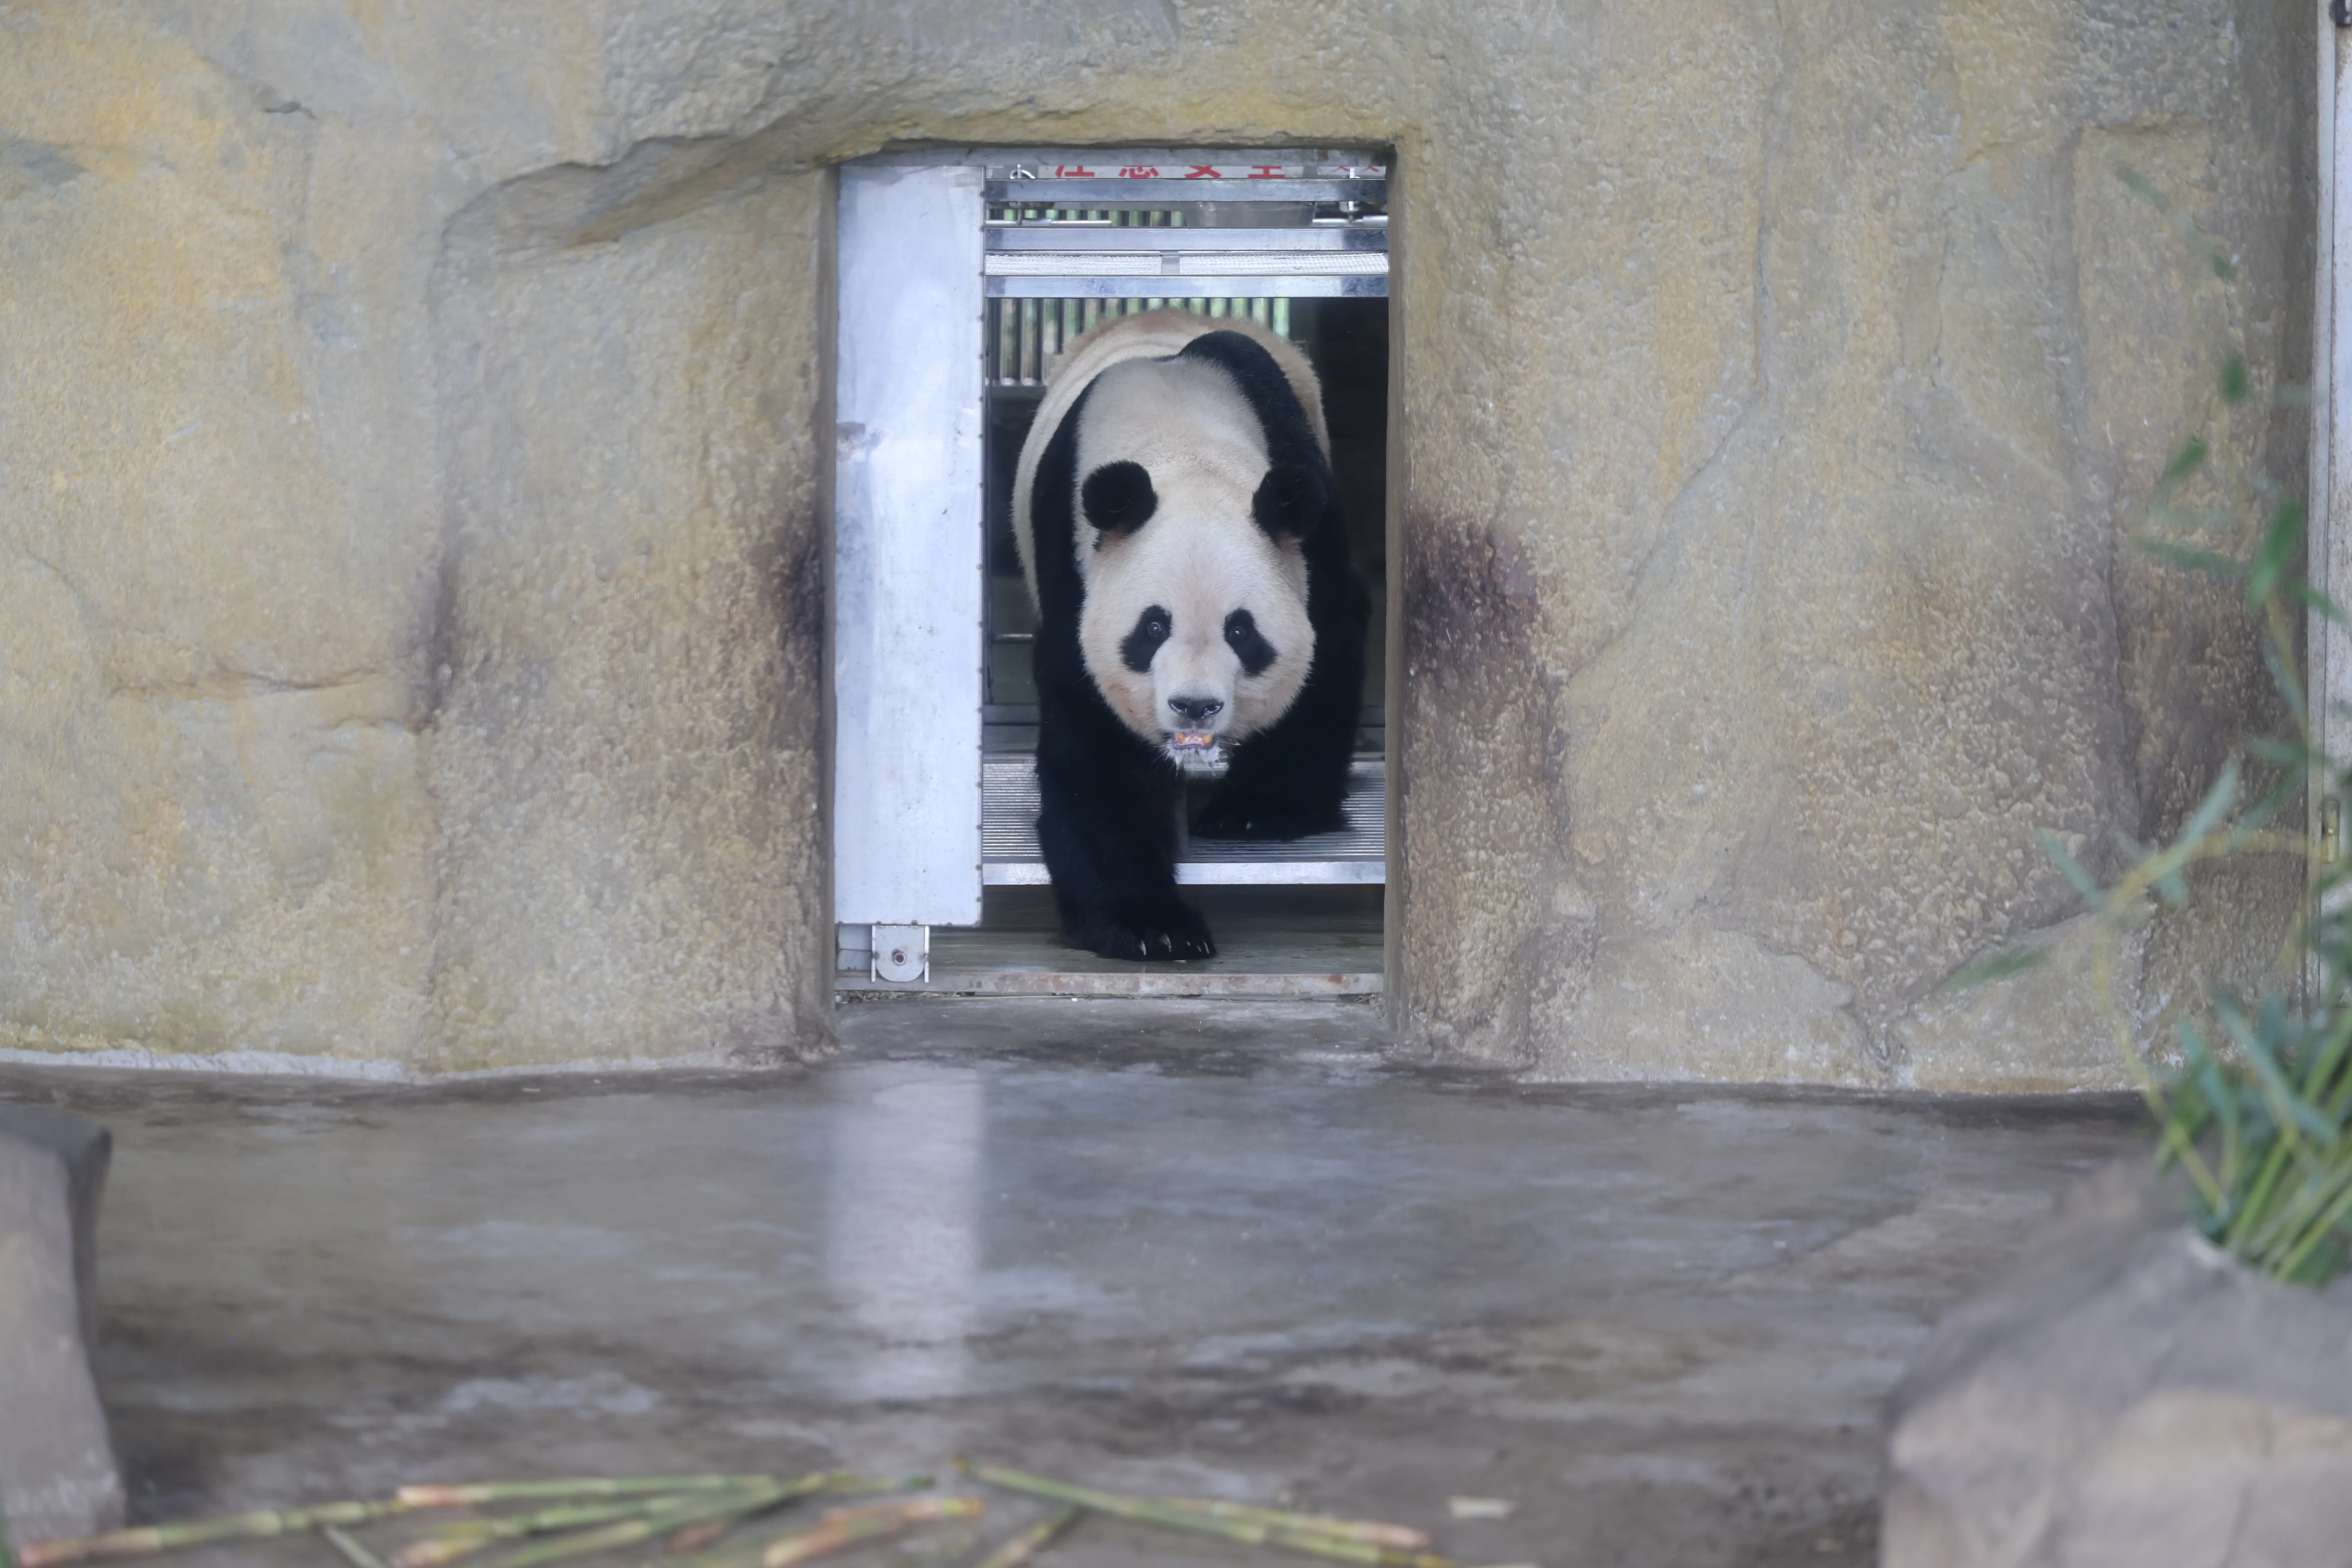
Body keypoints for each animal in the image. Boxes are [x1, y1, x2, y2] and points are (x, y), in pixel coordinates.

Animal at [1013, 309, 1369, 962]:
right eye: (1153, 628)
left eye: (1242, 631)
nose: (1195, 707)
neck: (1182, 450)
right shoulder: (1075, 573)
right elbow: (1094, 744)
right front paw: (1151, 926)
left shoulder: (1307, 531)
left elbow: (1326, 657)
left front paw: (1258, 812)